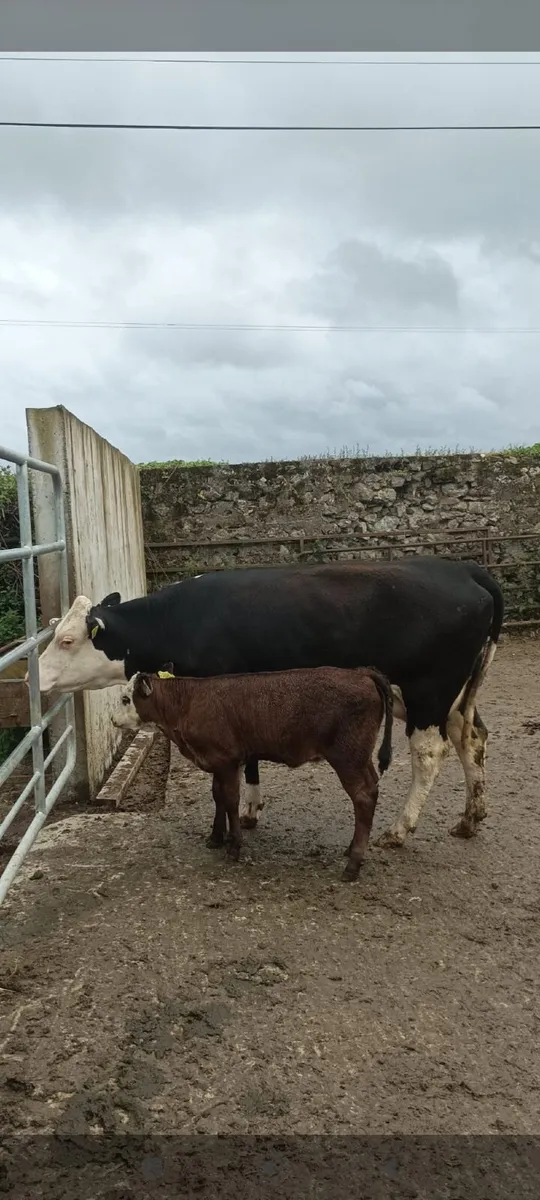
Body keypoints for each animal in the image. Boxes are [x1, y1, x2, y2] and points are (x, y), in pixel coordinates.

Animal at [35, 557, 504, 847]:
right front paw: (251, 808)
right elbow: (252, 758)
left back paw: (400, 828)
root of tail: (463, 568)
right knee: (472, 738)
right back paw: (471, 816)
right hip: (454, 696)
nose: (32, 677)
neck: (179, 620)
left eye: (67, 639)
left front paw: (241, 814)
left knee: (429, 753)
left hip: (428, 692)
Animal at [111, 665, 394, 881]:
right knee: (372, 788)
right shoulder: (220, 762)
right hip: (360, 758)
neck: (187, 702)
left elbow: (231, 800)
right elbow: (218, 797)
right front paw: (216, 837)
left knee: (364, 796)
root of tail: (361, 672)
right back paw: (351, 850)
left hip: (348, 757)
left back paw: (353, 864)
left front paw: (234, 846)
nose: (113, 720)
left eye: (126, 699)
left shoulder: (226, 760)